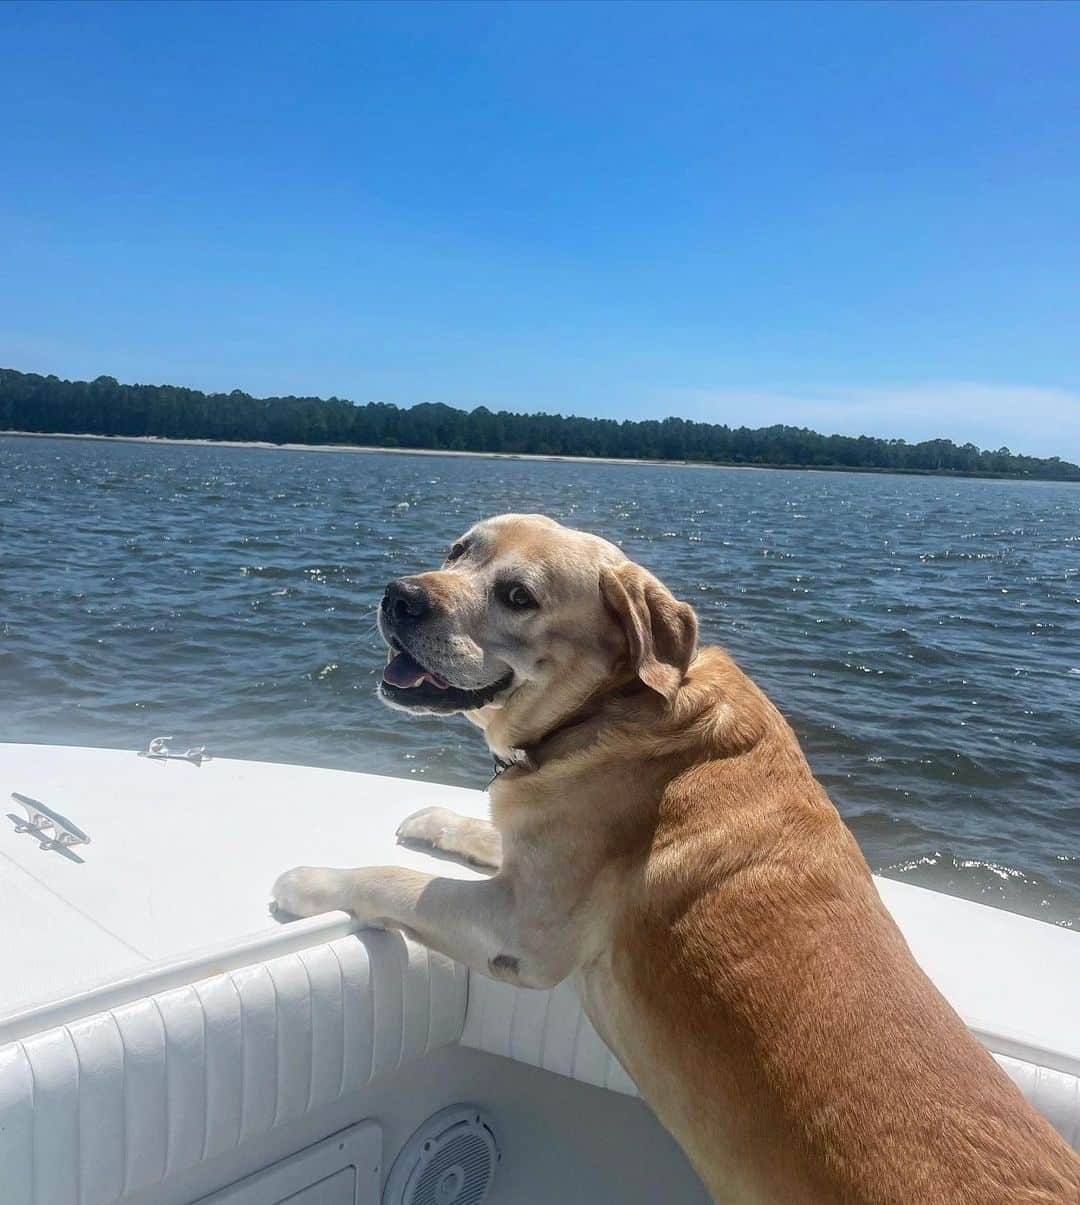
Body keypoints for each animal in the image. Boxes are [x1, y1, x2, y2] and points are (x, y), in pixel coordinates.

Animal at [272, 513, 1080, 1200]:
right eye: (456, 550)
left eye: (518, 596)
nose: (400, 596)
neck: (608, 707)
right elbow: (489, 831)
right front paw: (437, 816)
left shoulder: (522, 930)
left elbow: (401, 881)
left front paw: (310, 880)